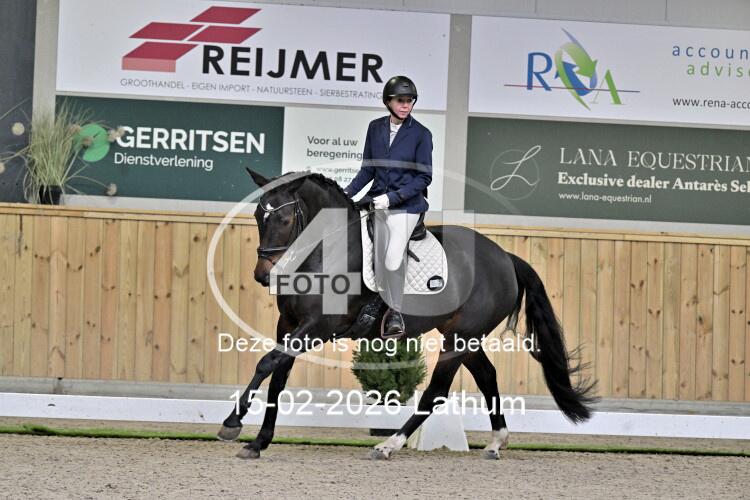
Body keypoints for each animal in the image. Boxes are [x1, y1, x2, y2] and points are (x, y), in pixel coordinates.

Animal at [216, 169, 597, 460]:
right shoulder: (290, 325)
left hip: (461, 337)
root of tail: (505, 257)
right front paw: (258, 442)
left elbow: (266, 363)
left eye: (283, 218)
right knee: (487, 376)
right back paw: (495, 443)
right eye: (258, 217)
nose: (263, 275)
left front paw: (233, 422)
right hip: (464, 336)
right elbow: (277, 377)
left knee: (437, 390)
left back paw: (389, 444)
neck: (327, 252)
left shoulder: (318, 327)